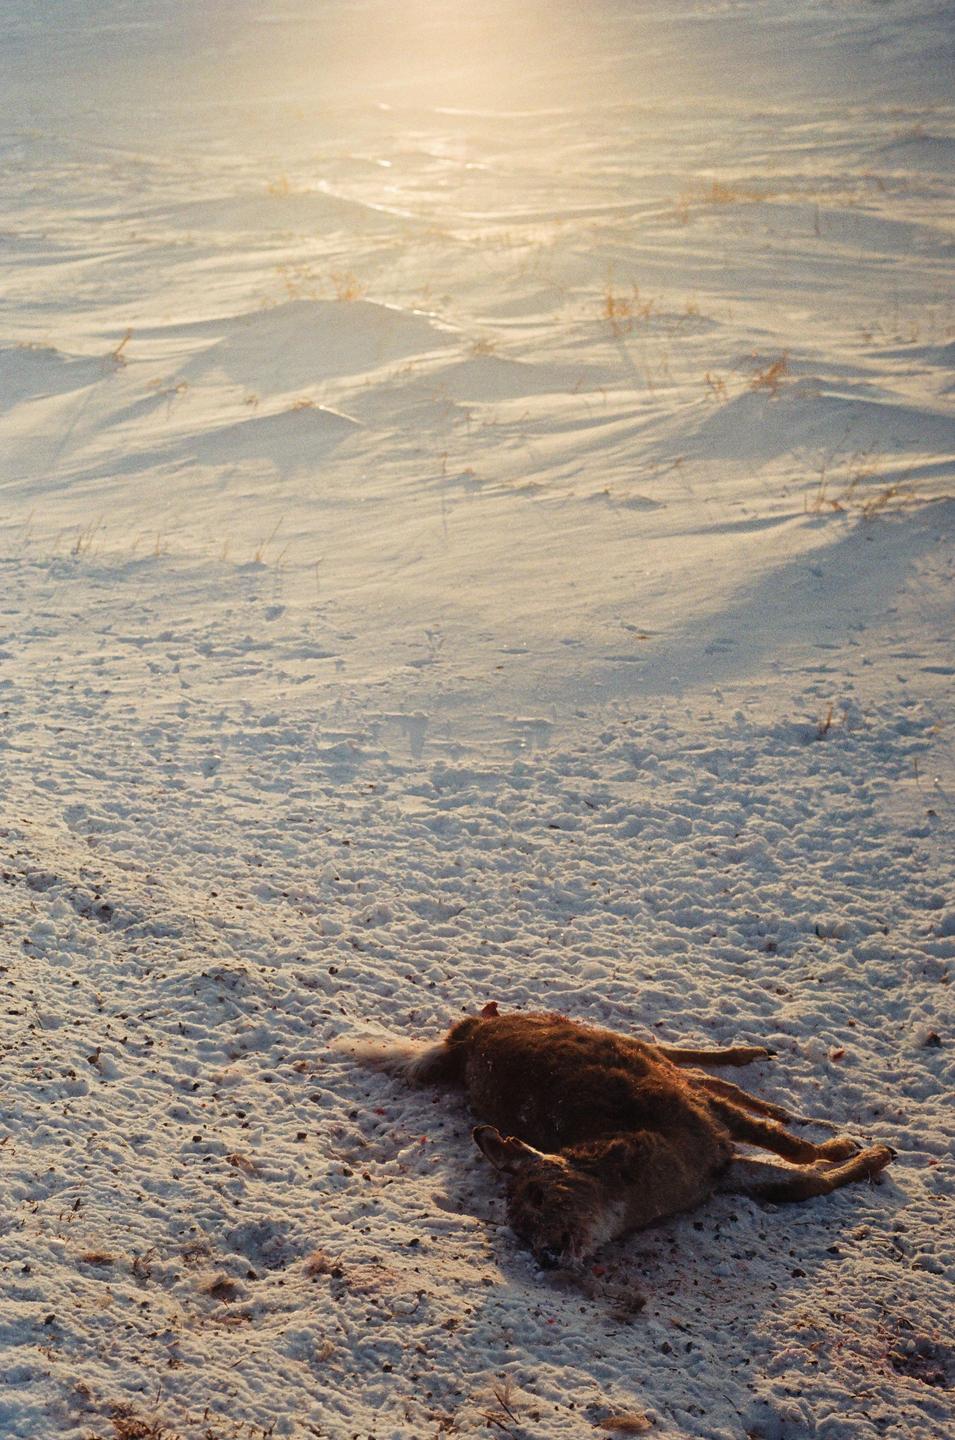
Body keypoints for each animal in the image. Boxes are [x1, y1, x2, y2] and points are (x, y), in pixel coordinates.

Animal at [342, 1006, 894, 1270]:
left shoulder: (706, 1127)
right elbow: (800, 1185)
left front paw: (849, 1147)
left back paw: (755, 1060)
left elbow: (787, 1148)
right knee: (692, 1071)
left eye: (539, 1194)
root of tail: (469, 1034)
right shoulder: (718, 1170)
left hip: (601, 1033)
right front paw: (871, 1154)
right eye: (516, 1230)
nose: (547, 1256)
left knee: (682, 1059)